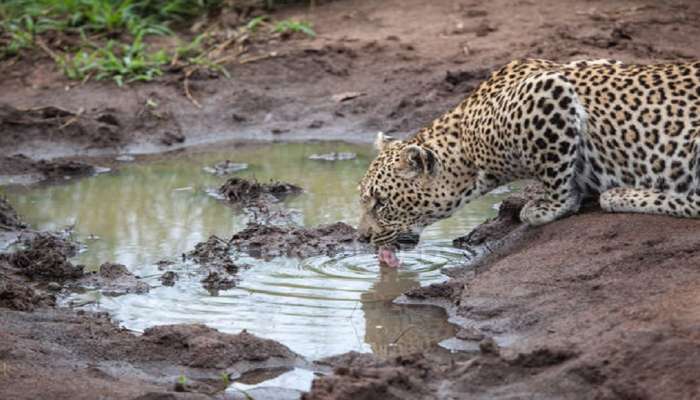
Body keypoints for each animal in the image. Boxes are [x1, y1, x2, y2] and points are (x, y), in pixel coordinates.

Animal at [360, 59, 700, 247]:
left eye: (381, 204)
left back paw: (621, 195)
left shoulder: (549, 95)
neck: (468, 144)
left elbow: (556, 172)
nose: (361, 238)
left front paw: (548, 207)